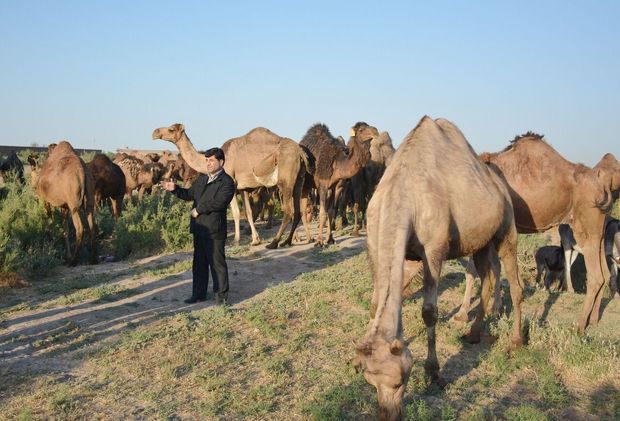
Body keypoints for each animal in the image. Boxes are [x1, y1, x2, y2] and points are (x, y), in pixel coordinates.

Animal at [153, 123, 310, 248]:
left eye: (171, 129)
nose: (155, 132)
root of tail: (300, 152)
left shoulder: (232, 184)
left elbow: (236, 213)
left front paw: (236, 241)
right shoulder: (243, 188)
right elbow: (248, 212)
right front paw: (255, 240)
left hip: (285, 179)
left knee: (288, 210)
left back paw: (274, 243)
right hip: (298, 179)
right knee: (297, 210)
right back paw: (288, 241)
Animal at [354, 115, 524, 420]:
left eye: (399, 381)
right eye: (370, 382)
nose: (389, 414)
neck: (403, 196)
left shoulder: (433, 249)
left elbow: (429, 313)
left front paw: (434, 374)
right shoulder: (376, 248)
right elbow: (375, 305)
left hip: (507, 225)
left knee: (514, 281)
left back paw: (515, 341)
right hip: (480, 240)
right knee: (487, 275)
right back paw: (473, 333)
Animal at [478, 131, 612, 332]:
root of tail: (603, 187)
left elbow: (494, 268)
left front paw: (494, 311)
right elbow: (495, 267)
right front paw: (495, 310)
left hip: (586, 226)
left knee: (596, 276)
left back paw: (579, 326)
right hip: (599, 231)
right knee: (606, 272)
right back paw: (593, 320)